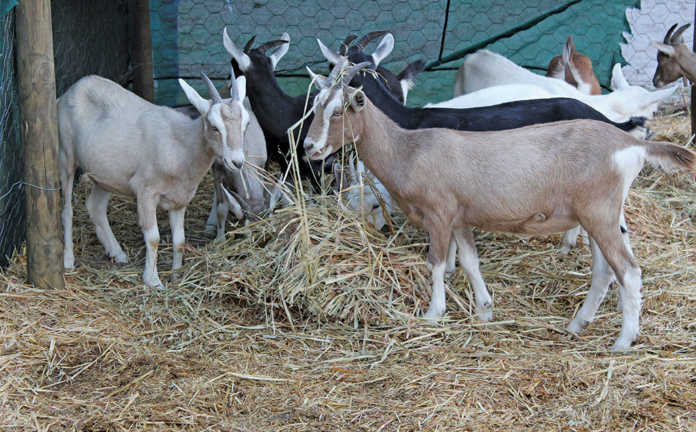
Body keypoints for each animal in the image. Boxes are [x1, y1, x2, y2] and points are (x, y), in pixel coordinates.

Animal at [59, 72, 248, 287]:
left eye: (246, 124)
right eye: (215, 127)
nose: (237, 162)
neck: (181, 144)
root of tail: (72, 90)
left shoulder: (179, 200)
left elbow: (180, 240)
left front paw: (176, 274)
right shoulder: (146, 192)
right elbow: (153, 238)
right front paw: (153, 281)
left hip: (106, 175)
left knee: (95, 206)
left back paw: (118, 253)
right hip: (66, 155)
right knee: (67, 210)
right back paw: (68, 260)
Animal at [303, 61, 696, 351]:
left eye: (340, 110)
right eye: (314, 106)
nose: (308, 147)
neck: (408, 147)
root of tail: (630, 142)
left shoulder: (439, 213)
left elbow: (436, 263)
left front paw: (433, 313)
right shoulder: (460, 217)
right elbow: (470, 261)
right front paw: (485, 310)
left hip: (600, 211)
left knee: (628, 271)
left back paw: (623, 341)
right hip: (597, 214)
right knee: (604, 270)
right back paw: (577, 324)